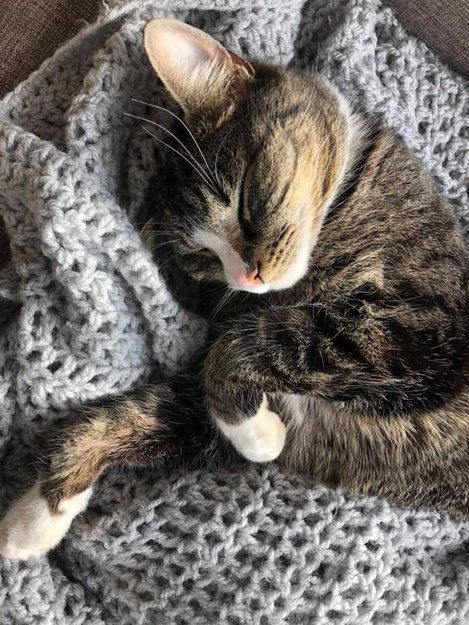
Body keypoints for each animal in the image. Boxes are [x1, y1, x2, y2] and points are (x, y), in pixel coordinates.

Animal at [0, 17, 468, 560]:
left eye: (245, 204)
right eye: (202, 258)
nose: (247, 277)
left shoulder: (417, 334)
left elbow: (246, 346)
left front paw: (257, 434)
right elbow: (127, 415)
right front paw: (32, 521)